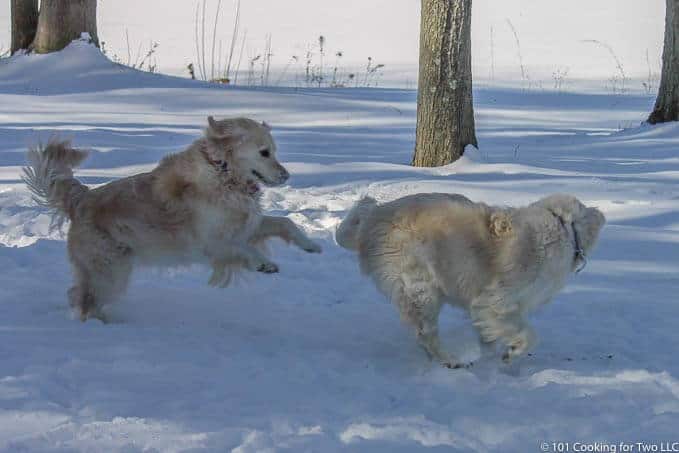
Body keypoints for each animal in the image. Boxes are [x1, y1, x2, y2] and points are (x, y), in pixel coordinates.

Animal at [23, 117, 322, 322]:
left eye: (273, 150)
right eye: (264, 152)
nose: (286, 176)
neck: (223, 173)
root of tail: (81, 199)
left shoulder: (244, 225)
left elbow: (285, 222)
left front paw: (311, 245)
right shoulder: (212, 242)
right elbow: (243, 249)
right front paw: (263, 263)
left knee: (79, 295)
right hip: (110, 270)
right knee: (84, 299)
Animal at [336, 192, 604, 366]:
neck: (563, 227)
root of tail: (372, 218)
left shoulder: (486, 308)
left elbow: (488, 335)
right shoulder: (497, 301)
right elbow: (529, 335)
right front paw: (510, 354)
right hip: (422, 289)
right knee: (426, 333)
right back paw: (450, 361)